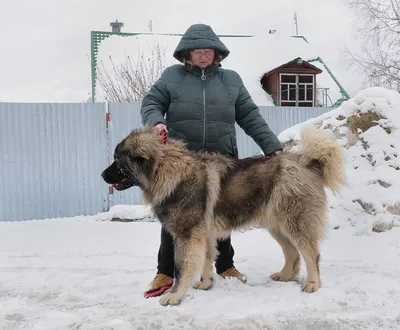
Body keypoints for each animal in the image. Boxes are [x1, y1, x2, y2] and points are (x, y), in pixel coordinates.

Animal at [101, 125, 346, 306]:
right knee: (292, 252)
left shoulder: (187, 235)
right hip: (277, 226)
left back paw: (312, 284)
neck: (170, 173)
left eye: (118, 162)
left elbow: (182, 267)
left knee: (311, 254)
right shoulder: (203, 235)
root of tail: (308, 164)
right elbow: (206, 260)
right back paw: (285, 275)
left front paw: (175, 295)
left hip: (294, 222)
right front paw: (205, 283)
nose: (102, 174)